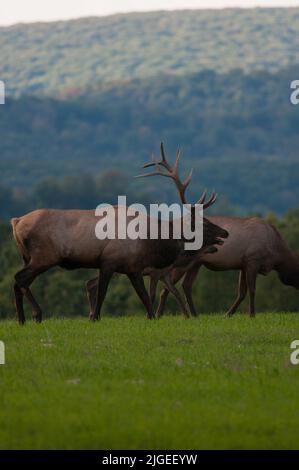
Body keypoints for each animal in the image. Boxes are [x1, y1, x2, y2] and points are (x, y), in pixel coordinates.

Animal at [10, 143, 229, 324]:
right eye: (203, 223)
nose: (225, 232)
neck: (150, 242)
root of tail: (16, 222)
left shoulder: (133, 268)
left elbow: (146, 301)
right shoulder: (109, 261)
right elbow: (104, 294)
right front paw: (94, 318)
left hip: (27, 257)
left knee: (20, 281)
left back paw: (24, 319)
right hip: (44, 256)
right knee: (19, 278)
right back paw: (34, 315)